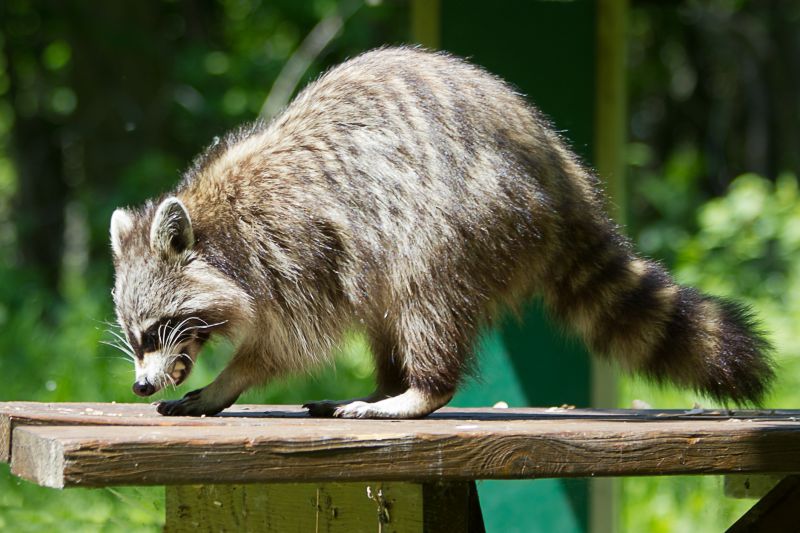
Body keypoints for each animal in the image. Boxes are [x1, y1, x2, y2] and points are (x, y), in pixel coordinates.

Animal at [109, 47, 774, 418]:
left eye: (158, 328)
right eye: (135, 335)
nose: (139, 384)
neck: (215, 229)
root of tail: (563, 176)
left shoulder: (297, 244)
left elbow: (292, 343)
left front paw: (231, 379)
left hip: (470, 219)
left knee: (424, 294)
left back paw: (419, 391)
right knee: (387, 311)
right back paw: (389, 385)